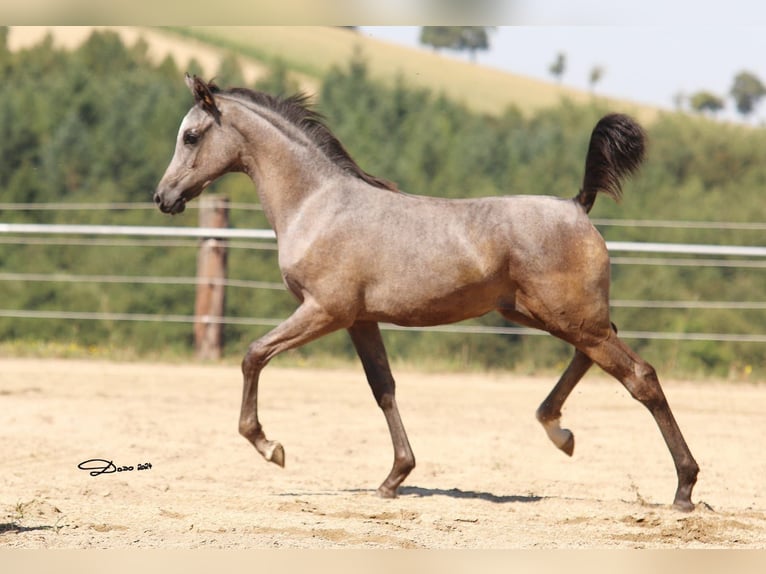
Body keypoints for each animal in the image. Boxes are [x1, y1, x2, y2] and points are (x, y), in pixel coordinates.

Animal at [153, 74, 700, 510]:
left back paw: (684, 489)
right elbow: (383, 388)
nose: (163, 197)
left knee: (640, 377)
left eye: (191, 135)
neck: (318, 205)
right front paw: (395, 477)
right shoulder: (360, 319)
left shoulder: (325, 310)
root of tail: (577, 205)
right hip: (549, 314)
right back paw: (558, 431)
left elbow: (253, 355)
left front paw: (271, 447)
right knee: (594, 358)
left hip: (569, 316)